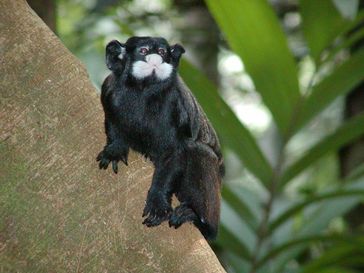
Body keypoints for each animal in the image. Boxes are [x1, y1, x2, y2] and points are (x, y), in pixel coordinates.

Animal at [95, 36, 223, 238]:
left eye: (163, 52)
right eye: (144, 50)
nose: (156, 58)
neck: (143, 91)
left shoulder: (175, 104)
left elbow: (174, 152)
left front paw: (158, 201)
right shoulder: (109, 90)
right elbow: (113, 123)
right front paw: (115, 149)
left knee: (199, 151)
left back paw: (199, 221)